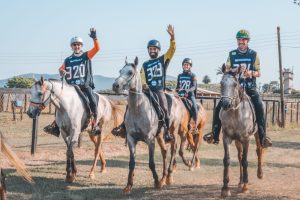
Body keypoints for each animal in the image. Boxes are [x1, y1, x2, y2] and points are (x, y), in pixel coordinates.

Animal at [219, 67, 264, 197]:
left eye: (235, 84)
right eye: (221, 83)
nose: (225, 104)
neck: (235, 113)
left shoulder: (246, 139)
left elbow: (245, 160)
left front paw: (245, 186)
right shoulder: (227, 138)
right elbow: (227, 160)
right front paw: (225, 188)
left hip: (257, 135)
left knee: (259, 150)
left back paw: (259, 174)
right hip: (237, 141)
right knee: (239, 156)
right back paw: (240, 182)